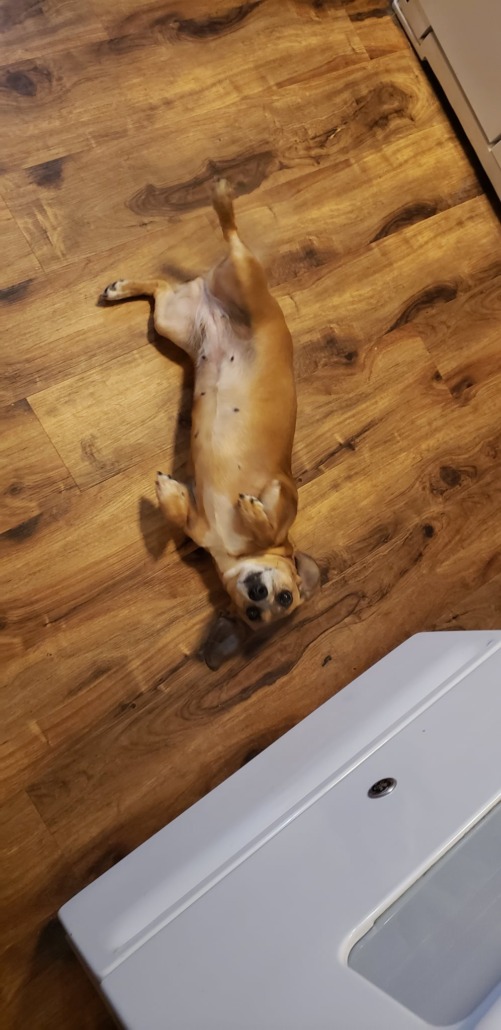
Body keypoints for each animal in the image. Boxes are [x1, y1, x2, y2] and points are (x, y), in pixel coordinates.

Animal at [102, 180, 319, 660]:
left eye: (277, 604)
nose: (257, 592)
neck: (233, 550)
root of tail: (207, 297)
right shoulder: (284, 489)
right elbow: (276, 513)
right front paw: (255, 511)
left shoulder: (198, 527)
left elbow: (179, 512)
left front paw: (169, 491)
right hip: (245, 281)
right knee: (232, 236)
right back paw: (221, 197)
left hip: (169, 320)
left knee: (160, 287)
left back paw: (122, 287)